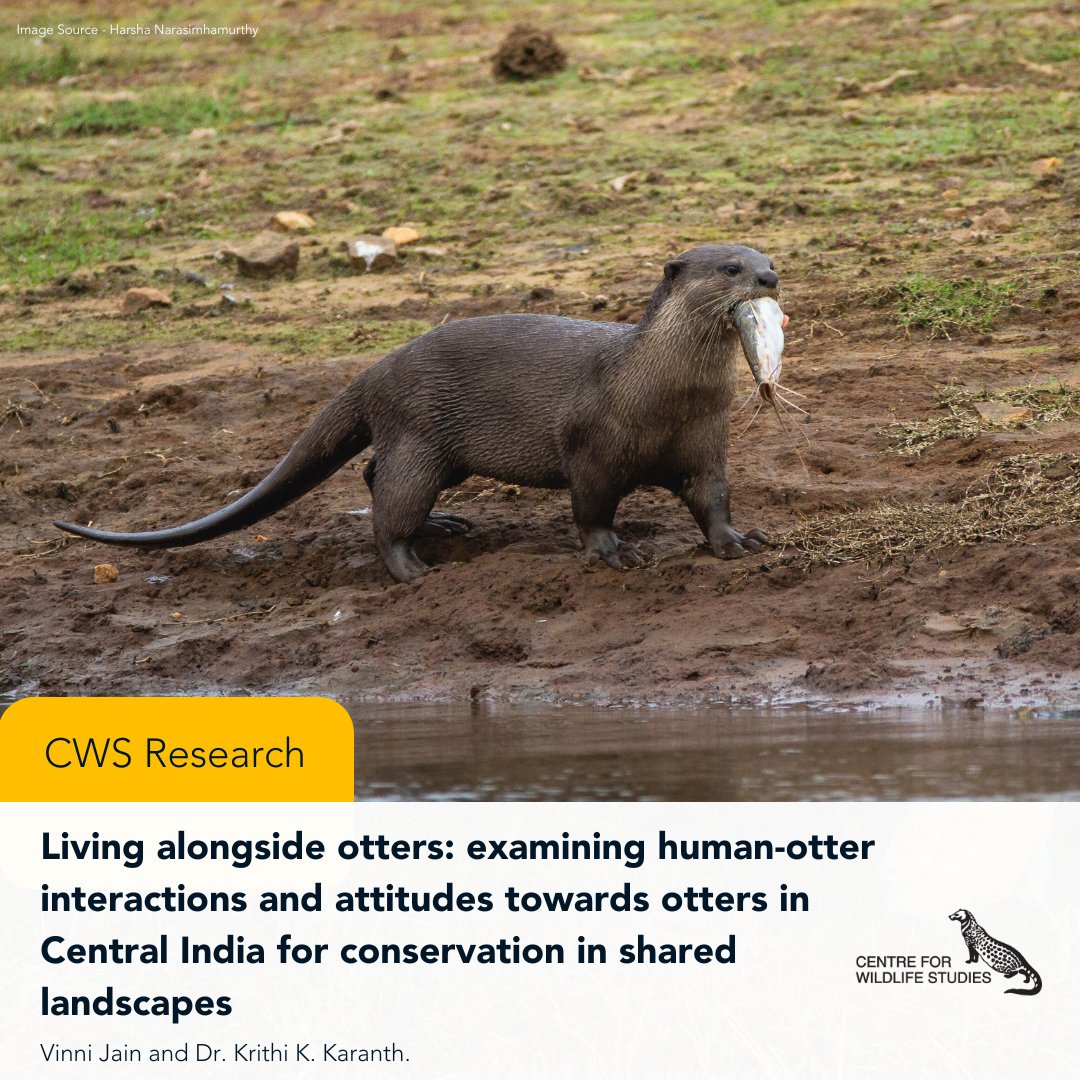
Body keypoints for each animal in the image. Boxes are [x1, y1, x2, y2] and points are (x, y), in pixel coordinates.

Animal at [55, 244, 781, 583]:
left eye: (767, 259)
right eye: (729, 267)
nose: (770, 278)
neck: (658, 392)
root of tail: (377, 369)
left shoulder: (705, 441)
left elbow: (712, 497)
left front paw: (737, 541)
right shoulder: (593, 446)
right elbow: (592, 508)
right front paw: (614, 552)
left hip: (432, 449)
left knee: (375, 476)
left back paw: (448, 524)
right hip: (418, 435)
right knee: (389, 509)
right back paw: (412, 566)